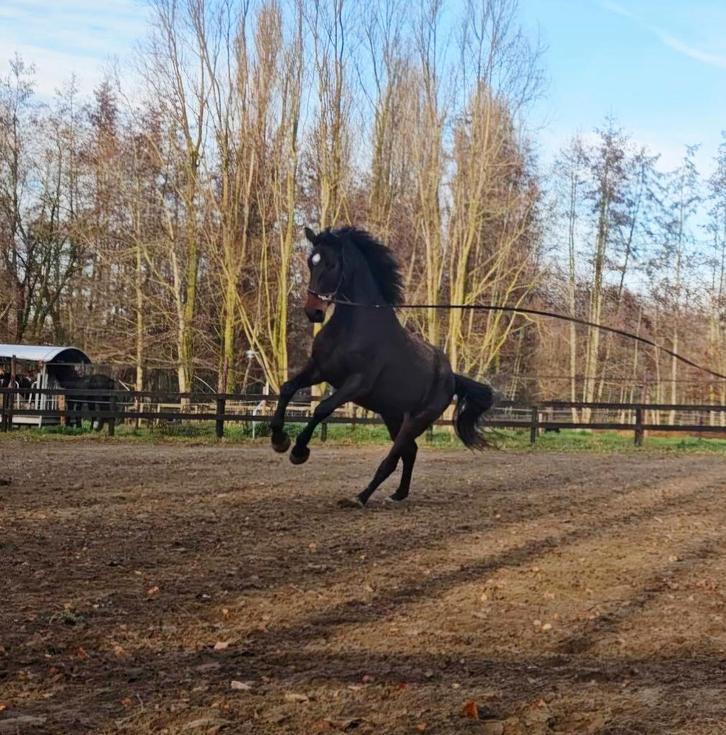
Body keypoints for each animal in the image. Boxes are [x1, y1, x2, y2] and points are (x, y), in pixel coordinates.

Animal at [270, 226, 495, 507]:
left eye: (332, 264)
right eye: (312, 262)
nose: (314, 312)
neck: (353, 327)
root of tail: (452, 377)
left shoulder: (357, 383)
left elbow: (322, 408)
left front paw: (299, 451)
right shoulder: (320, 370)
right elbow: (287, 388)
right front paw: (279, 440)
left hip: (416, 421)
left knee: (393, 458)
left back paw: (359, 498)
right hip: (392, 415)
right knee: (410, 452)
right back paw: (398, 494)